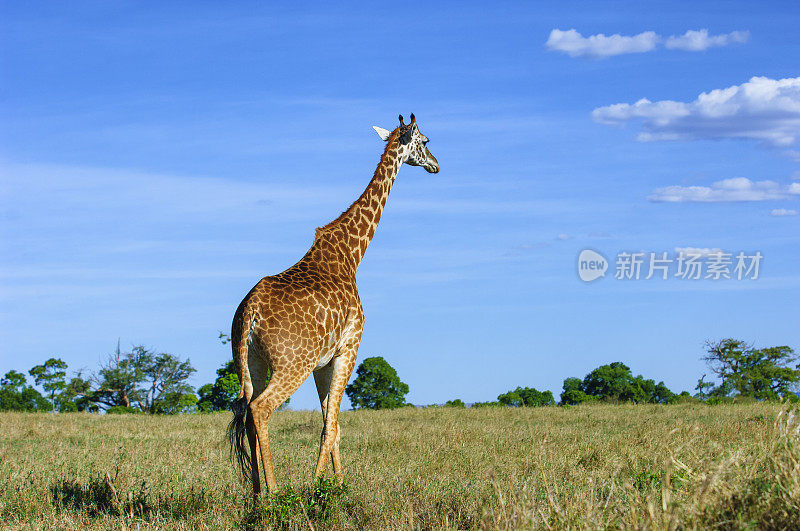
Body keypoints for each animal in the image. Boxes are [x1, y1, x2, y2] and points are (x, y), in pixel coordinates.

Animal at [227, 113, 438, 498]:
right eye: (426, 141)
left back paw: (256, 493)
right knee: (261, 409)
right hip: (292, 364)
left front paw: (339, 486)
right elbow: (330, 425)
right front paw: (317, 487)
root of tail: (249, 312)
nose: (435, 165)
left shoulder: (324, 362)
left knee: (247, 410)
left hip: (248, 363)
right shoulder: (349, 348)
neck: (351, 254)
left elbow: (333, 425)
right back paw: (275, 492)